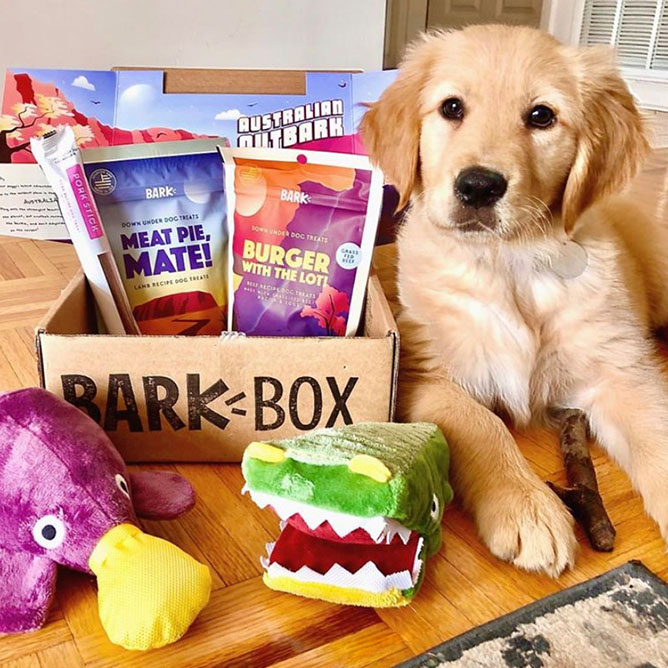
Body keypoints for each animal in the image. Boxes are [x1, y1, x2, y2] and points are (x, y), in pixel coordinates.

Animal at [360, 24, 668, 580]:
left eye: (541, 115)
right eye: (452, 108)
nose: (479, 186)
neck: (509, 264)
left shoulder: (620, 371)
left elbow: (658, 438)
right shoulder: (428, 375)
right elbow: (481, 426)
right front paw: (527, 507)